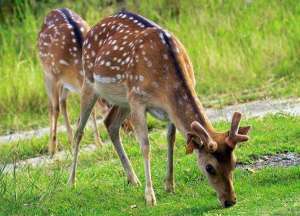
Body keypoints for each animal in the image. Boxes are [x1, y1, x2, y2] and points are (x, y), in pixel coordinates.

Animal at [37, 8, 108, 156]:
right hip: (46, 72)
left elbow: (90, 110)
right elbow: (55, 109)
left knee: (63, 103)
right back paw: (53, 146)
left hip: (65, 85)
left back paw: (71, 141)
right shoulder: (53, 76)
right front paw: (52, 150)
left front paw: (99, 143)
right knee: (52, 106)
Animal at [68, 10, 251, 208]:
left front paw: (169, 185)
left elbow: (170, 139)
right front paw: (150, 196)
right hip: (90, 82)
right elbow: (145, 145)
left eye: (234, 162)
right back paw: (71, 182)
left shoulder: (167, 108)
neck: (164, 82)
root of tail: (91, 29)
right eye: (209, 167)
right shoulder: (138, 99)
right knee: (79, 130)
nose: (230, 200)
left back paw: (133, 179)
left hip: (123, 99)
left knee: (110, 123)